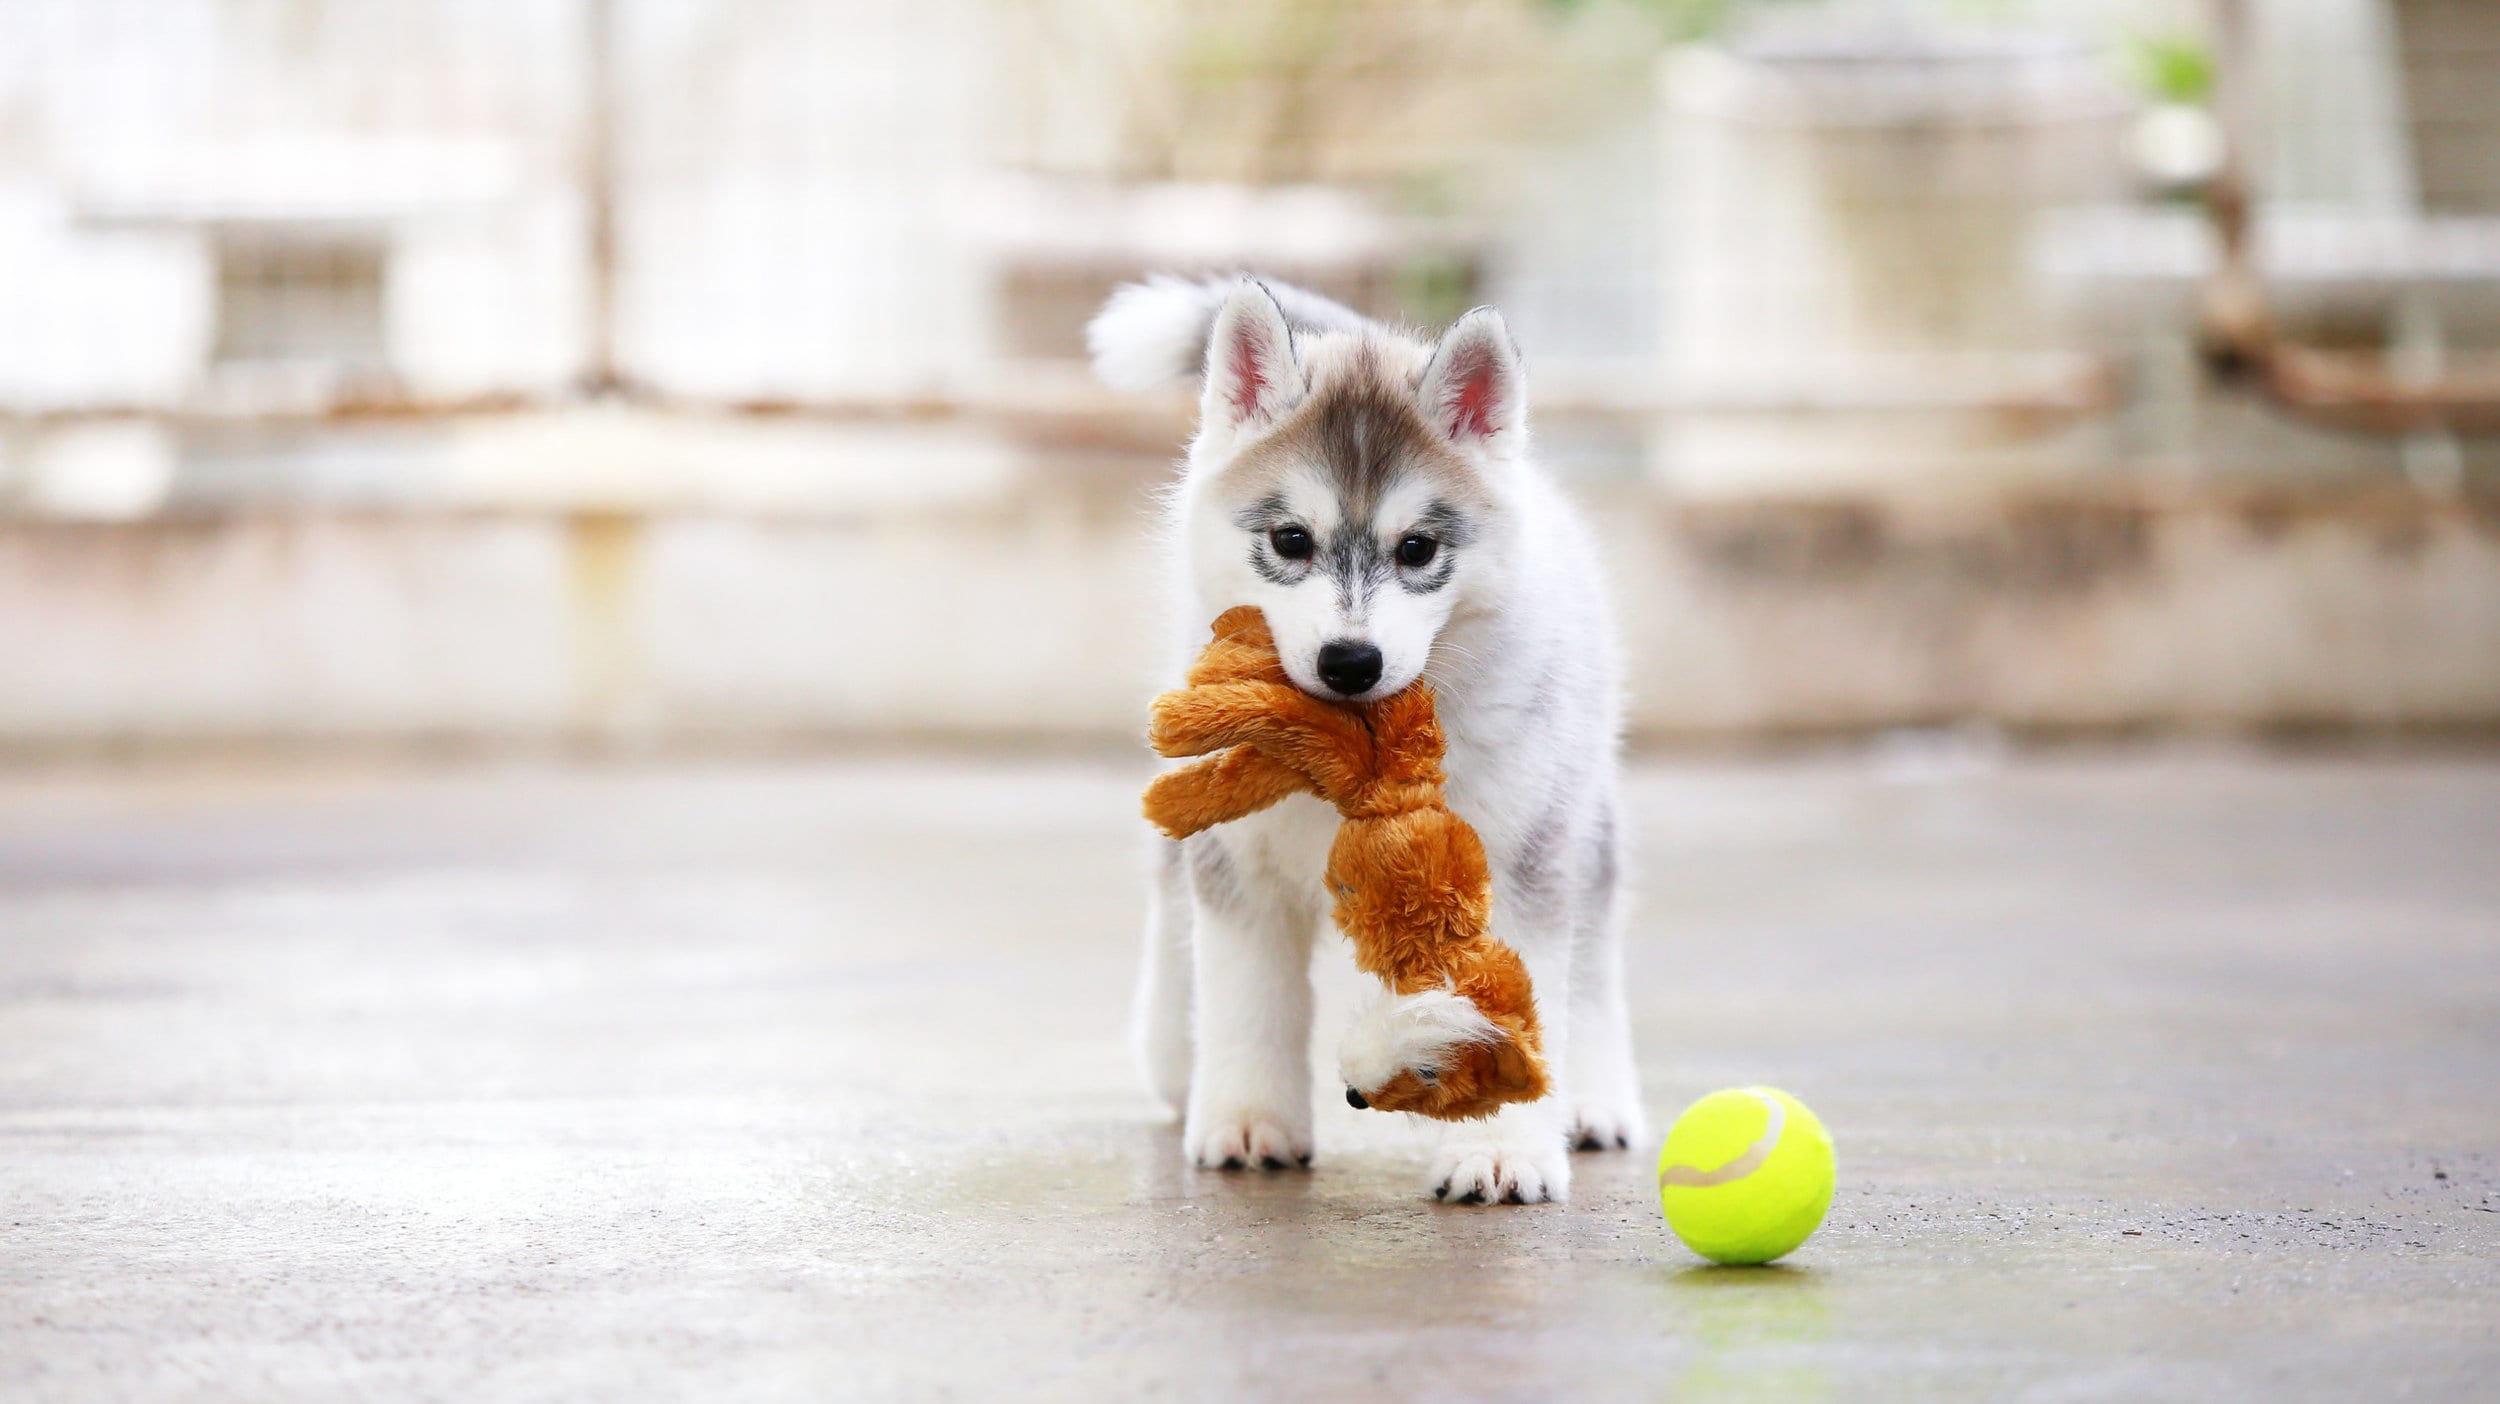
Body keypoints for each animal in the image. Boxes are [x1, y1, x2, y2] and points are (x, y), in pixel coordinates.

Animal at [1090, 273, 1640, 1204]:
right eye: (1290, 540)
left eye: (1417, 548)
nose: (1350, 661)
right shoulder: (1241, 861)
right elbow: (1246, 998)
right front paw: (1248, 1119)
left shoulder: (1510, 859)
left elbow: (1517, 1001)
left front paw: (1503, 1149)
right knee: (1171, 896)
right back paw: (1173, 1055)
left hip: (1573, 809)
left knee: (1595, 947)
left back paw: (1597, 1098)